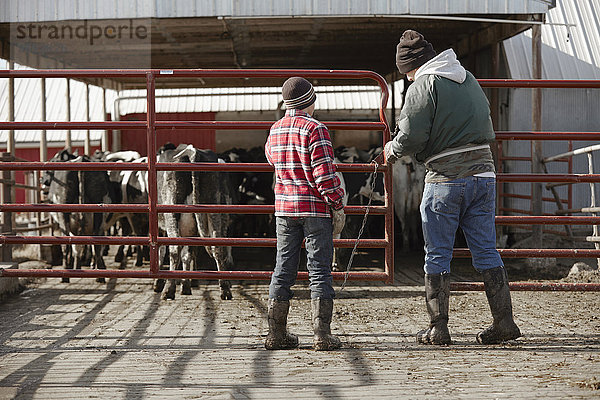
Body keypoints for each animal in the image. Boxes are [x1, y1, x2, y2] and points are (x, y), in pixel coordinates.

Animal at [41, 148, 116, 282]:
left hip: (63, 214)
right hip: (98, 212)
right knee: (96, 242)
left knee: (66, 244)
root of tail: (81, 160)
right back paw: (100, 275)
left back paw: (66, 275)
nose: (42, 179)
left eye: (52, 161)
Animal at [155, 144, 234, 300]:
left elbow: (161, 252)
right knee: (217, 247)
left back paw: (168, 290)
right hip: (214, 211)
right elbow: (188, 254)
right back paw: (225, 289)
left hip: (171, 212)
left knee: (174, 249)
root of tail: (192, 151)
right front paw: (186, 285)